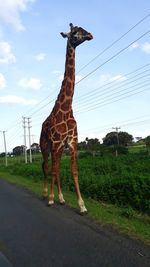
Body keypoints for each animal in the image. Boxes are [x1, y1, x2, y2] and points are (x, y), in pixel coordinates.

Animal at [40, 24, 93, 215]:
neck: (68, 108)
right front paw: (50, 199)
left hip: (58, 148)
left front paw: (82, 205)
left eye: (83, 28)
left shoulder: (72, 142)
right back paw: (46, 194)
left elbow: (73, 171)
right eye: (75, 33)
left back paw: (61, 198)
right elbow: (54, 171)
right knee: (47, 167)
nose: (90, 35)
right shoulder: (56, 143)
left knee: (54, 168)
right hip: (45, 146)